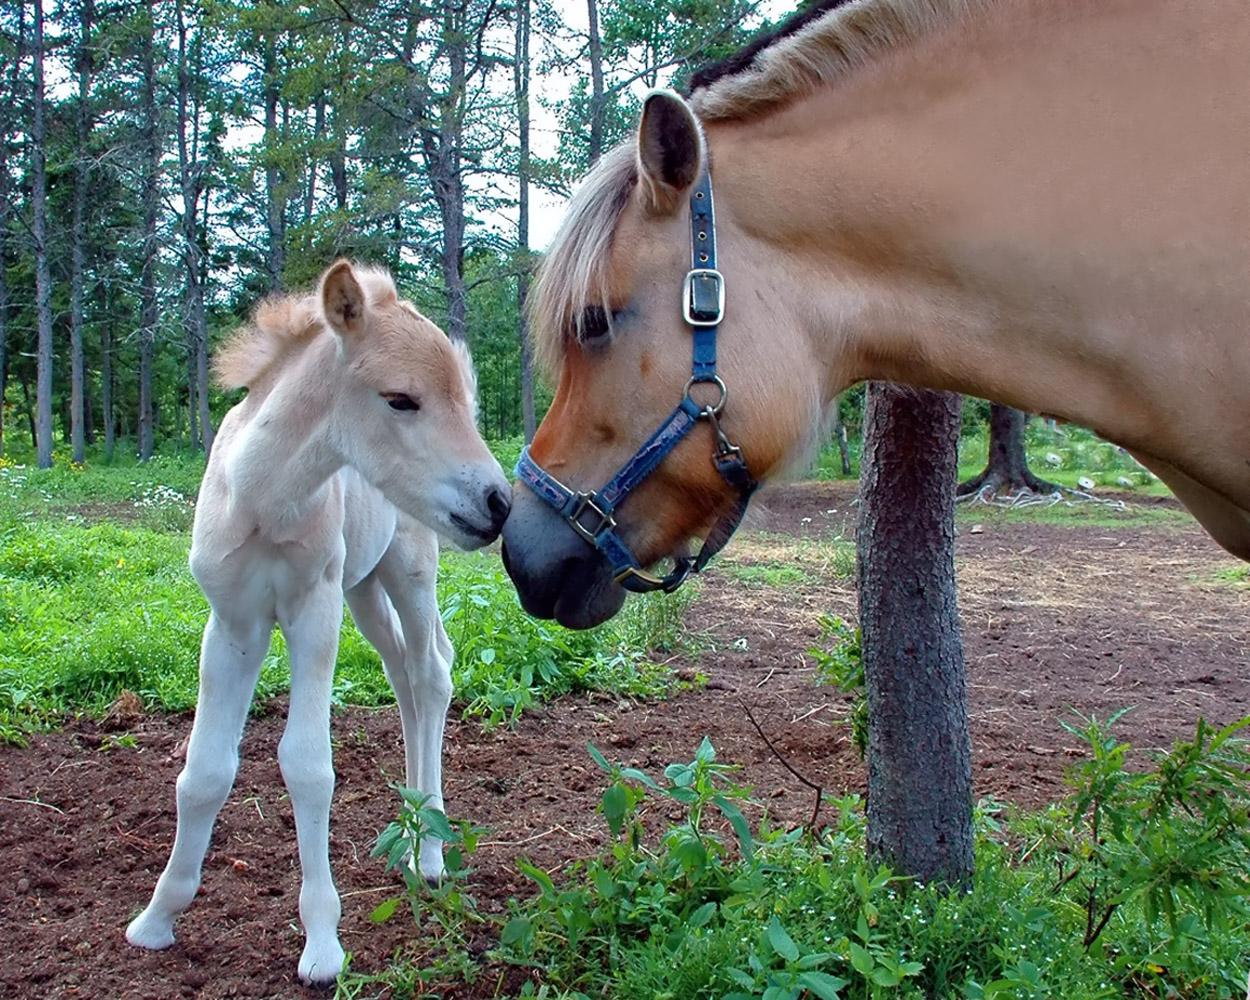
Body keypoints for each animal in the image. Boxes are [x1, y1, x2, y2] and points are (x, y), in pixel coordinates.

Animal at [119, 260, 505, 985]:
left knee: (432, 672)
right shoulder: (233, 626)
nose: (497, 503)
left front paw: (323, 943)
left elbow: (307, 765)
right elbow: (204, 769)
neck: (264, 501)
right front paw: (157, 918)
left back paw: (430, 853)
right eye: (401, 399)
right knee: (404, 674)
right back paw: (410, 829)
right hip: (365, 588)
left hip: (409, 569)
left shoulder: (312, 614)